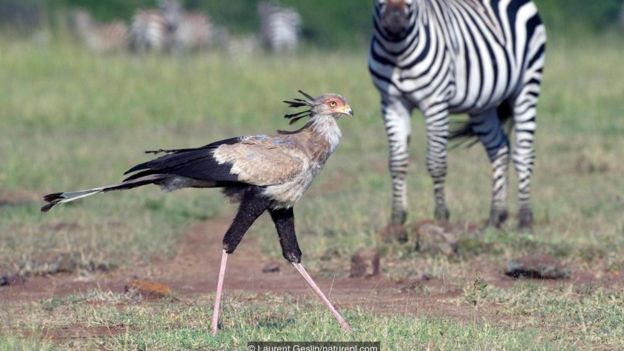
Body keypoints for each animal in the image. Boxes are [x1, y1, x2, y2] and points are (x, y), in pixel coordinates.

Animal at [370, 0, 544, 234]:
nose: (395, 22)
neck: (398, 52)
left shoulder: (435, 102)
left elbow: (436, 162)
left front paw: (441, 217)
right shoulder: (392, 103)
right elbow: (397, 162)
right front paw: (397, 219)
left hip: (527, 83)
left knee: (524, 153)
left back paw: (525, 220)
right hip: (483, 104)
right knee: (499, 149)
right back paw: (496, 217)